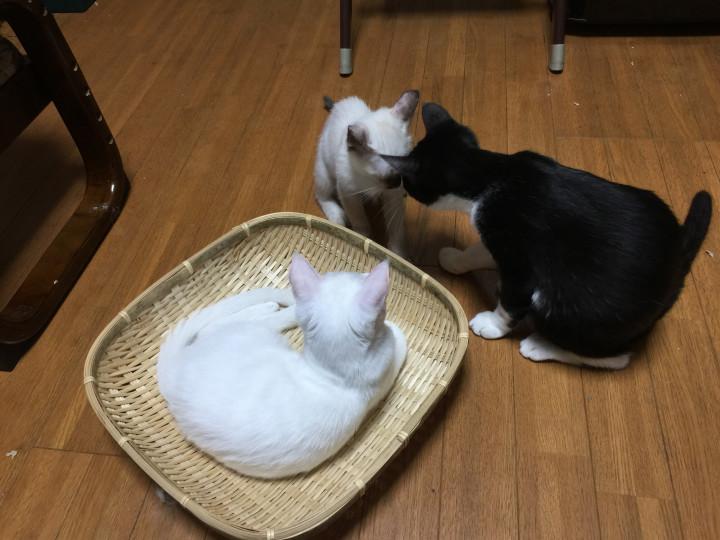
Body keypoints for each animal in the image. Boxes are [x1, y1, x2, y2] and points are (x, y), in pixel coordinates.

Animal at [156, 254, 407, 478]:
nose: (366, 272)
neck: (331, 371)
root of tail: (172, 375)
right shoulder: (386, 366)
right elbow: (399, 340)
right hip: (254, 333)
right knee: (216, 326)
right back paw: (268, 307)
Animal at [314, 90, 420, 256]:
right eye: (388, 177)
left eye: (404, 174)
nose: (399, 184)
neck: (370, 182)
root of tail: (337, 105)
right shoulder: (348, 194)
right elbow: (360, 222)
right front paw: (361, 240)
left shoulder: (392, 198)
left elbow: (396, 230)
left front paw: (397, 254)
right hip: (325, 175)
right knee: (321, 196)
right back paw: (337, 218)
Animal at [380, 103, 712, 370]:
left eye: (409, 183)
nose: (401, 187)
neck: (492, 175)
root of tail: (677, 264)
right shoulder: (498, 236)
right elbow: (479, 250)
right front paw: (456, 259)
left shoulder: (517, 253)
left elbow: (511, 299)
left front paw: (492, 324)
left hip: (571, 307)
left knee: (616, 358)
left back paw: (540, 346)